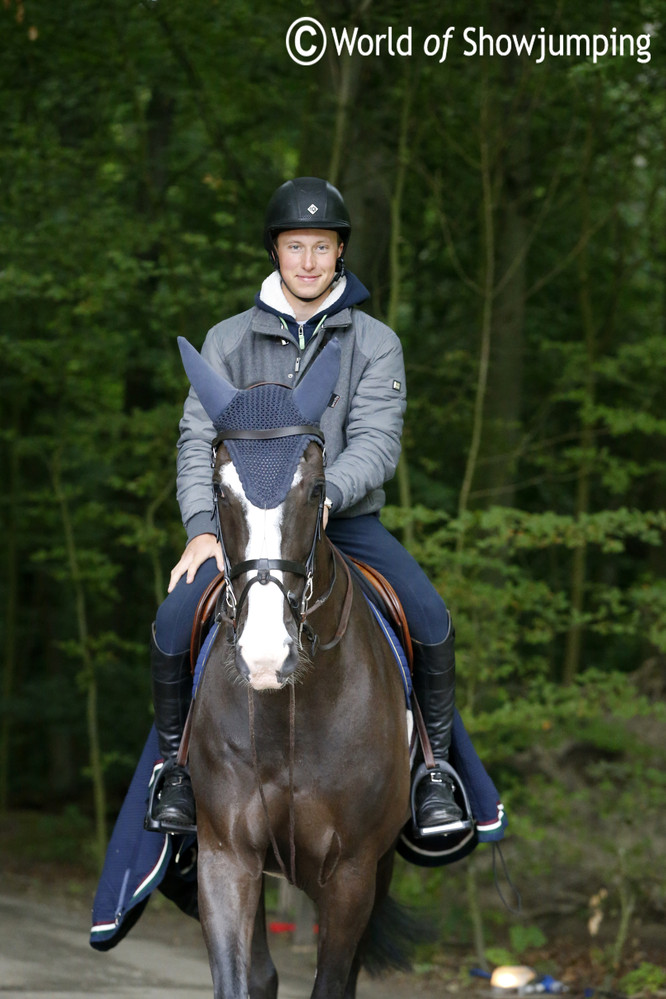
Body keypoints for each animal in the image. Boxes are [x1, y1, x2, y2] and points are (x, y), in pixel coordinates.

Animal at [179, 338, 412, 999]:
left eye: (314, 491)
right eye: (221, 492)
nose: (265, 656)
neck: (291, 713)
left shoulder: (353, 874)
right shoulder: (227, 855)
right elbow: (241, 979)